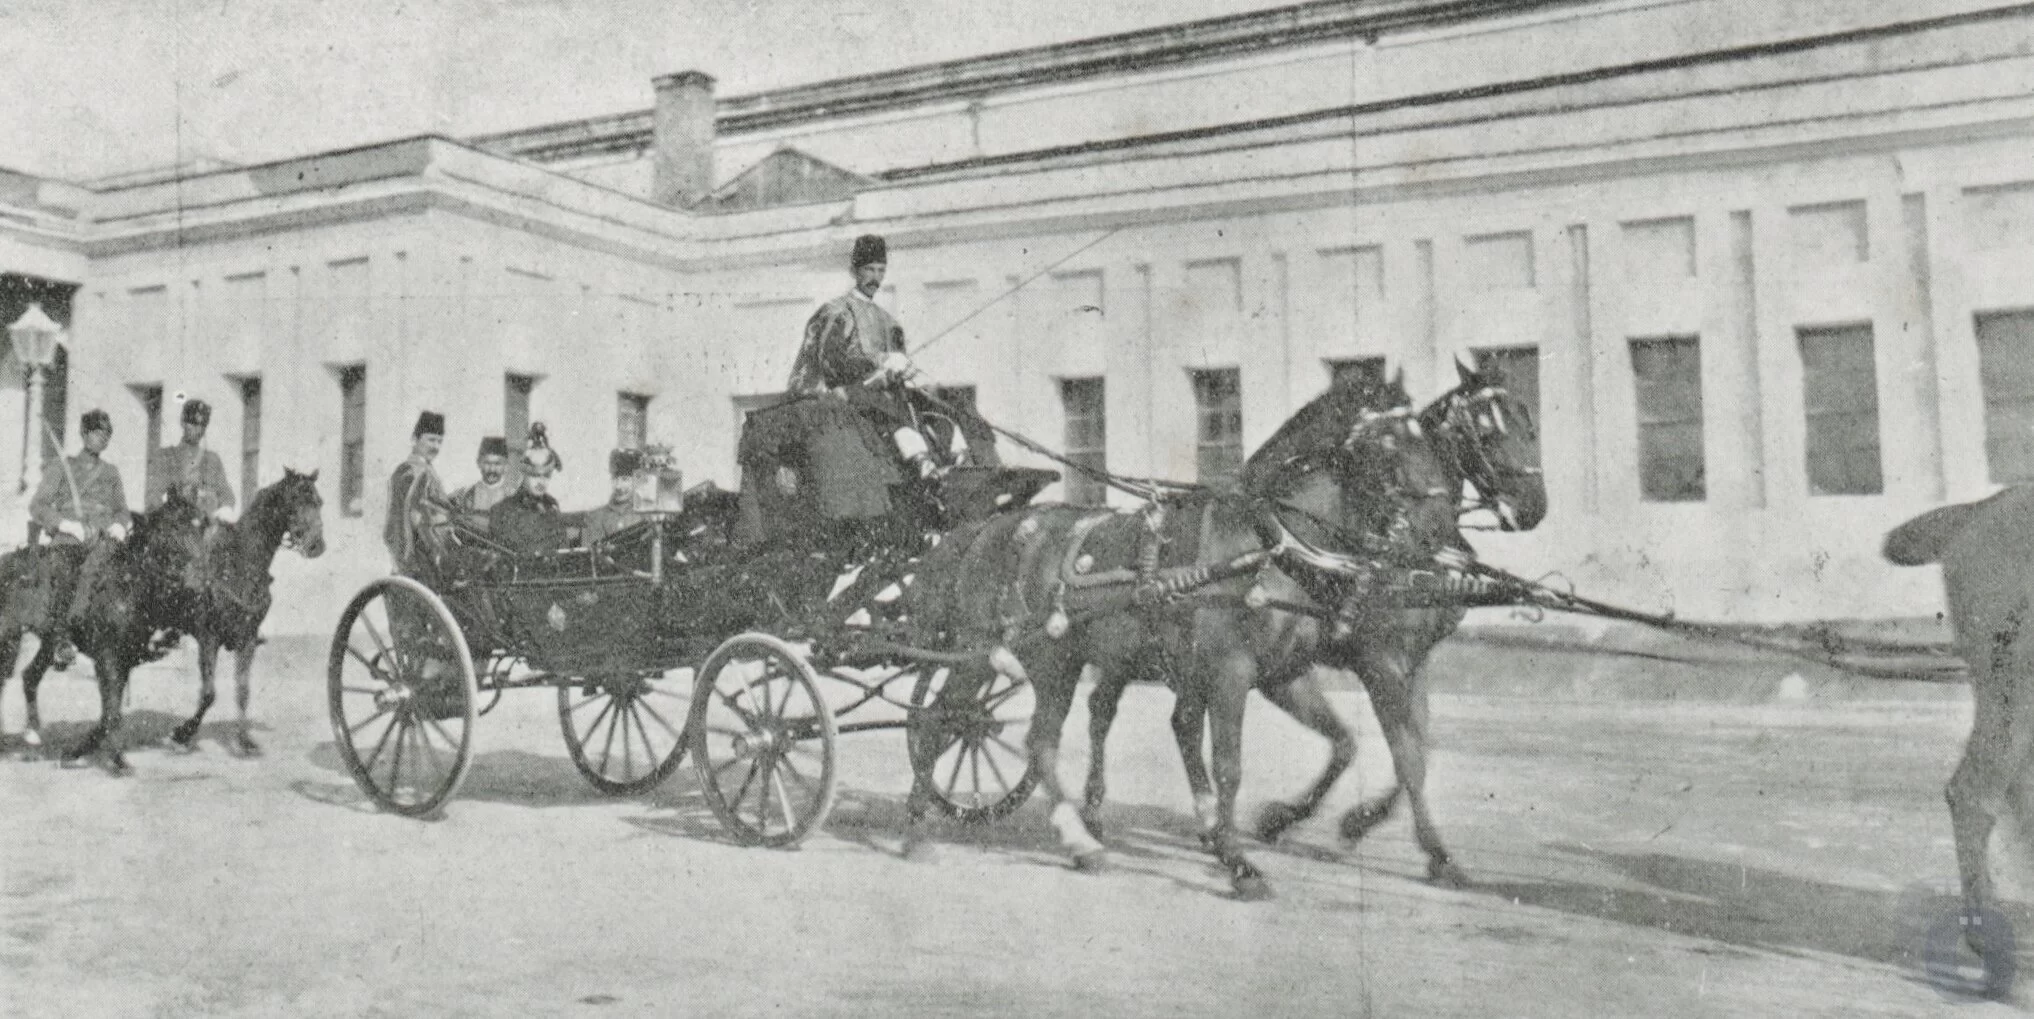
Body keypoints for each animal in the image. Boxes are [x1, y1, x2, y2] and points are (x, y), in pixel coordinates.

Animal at [2, 467, 325, 768]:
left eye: (319, 502)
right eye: (297, 501)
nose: (316, 546)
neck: (238, 565)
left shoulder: (245, 638)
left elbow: (242, 691)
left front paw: (245, 742)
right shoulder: (207, 637)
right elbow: (208, 694)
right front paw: (181, 735)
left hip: (47, 642)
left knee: (30, 676)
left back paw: (33, 735)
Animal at [907, 360, 1537, 898]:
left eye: (1426, 440)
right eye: (1385, 445)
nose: (1435, 534)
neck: (1273, 543)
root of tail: (987, 529)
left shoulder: (1296, 670)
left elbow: (1388, 748)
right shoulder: (1259, 669)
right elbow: (1236, 763)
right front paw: (1242, 861)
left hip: (1072, 661)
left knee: (1049, 734)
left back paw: (1083, 833)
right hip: (998, 656)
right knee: (947, 721)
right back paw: (927, 821)